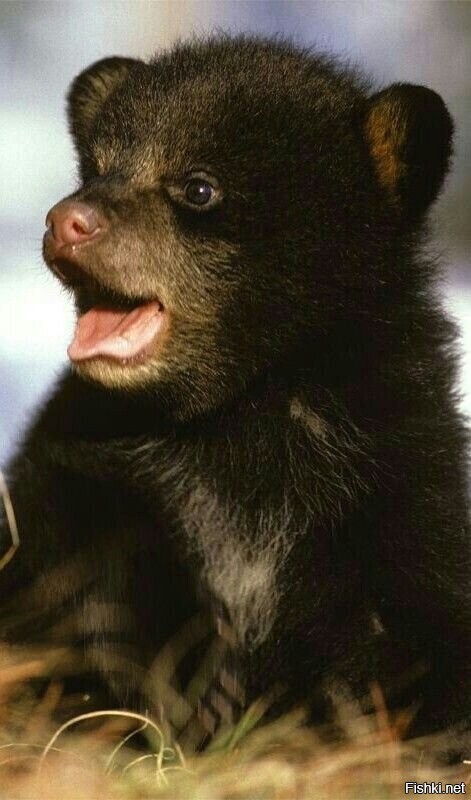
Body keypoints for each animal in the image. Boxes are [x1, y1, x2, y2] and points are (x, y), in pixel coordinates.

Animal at [0, 34, 469, 754]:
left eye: (198, 186)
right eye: (97, 168)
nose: (67, 220)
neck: (238, 409)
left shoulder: (392, 478)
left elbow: (413, 623)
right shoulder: (93, 479)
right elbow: (93, 588)